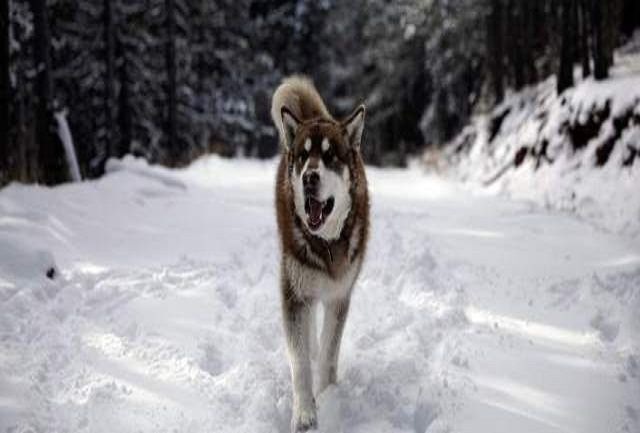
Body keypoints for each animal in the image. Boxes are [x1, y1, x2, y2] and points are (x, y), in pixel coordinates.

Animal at [272, 76, 370, 430]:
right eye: (303, 157)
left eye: (330, 157)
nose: (309, 177)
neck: (325, 244)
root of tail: (313, 116)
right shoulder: (294, 292)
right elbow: (300, 361)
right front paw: (305, 412)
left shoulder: (340, 295)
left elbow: (329, 355)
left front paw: (328, 397)